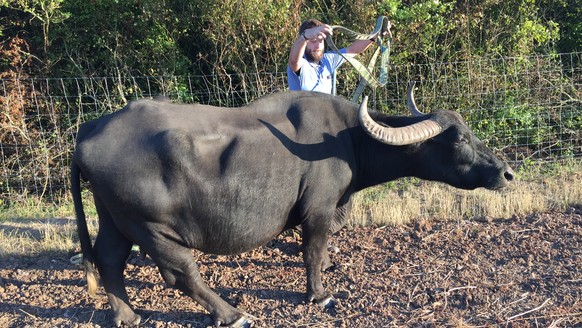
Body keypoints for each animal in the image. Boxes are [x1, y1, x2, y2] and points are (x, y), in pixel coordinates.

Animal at [70, 83, 512, 326]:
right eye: (459, 139)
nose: (507, 173)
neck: (347, 137)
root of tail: (89, 132)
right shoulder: (318, 208)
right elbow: (312, 250)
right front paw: (320, 292)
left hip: (115, 220)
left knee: (109, 259)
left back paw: (126, 315)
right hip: (152, 227)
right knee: (181, 273)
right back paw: (231, 314)